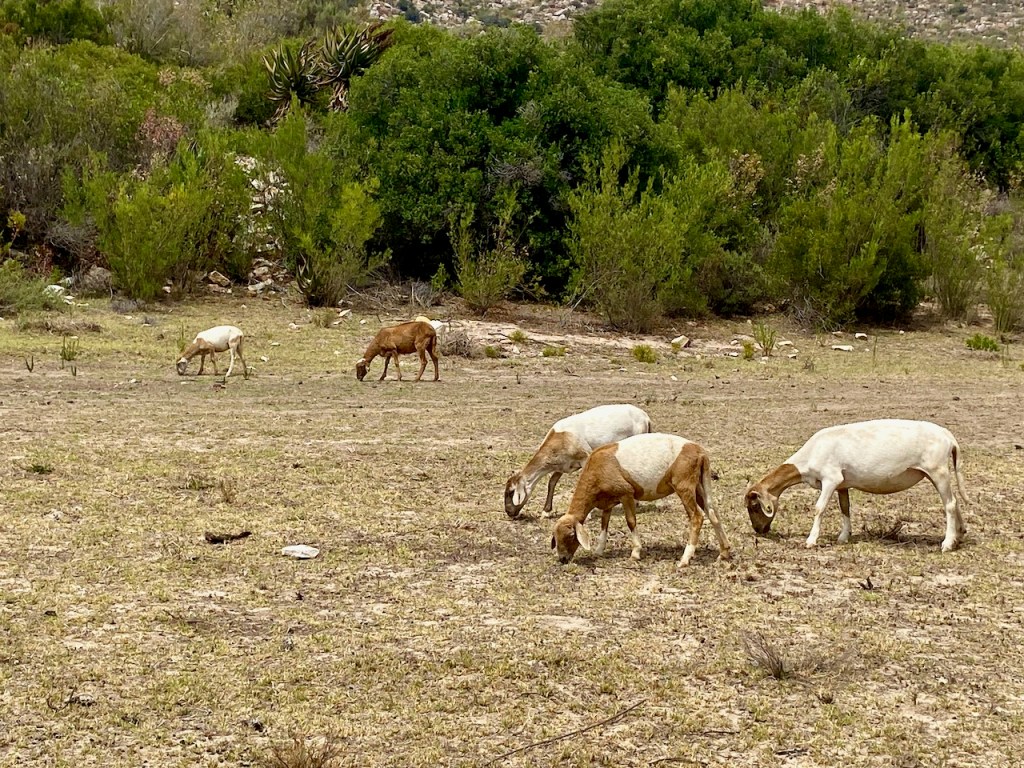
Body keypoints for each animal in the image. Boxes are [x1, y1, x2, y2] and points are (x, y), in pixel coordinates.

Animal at [504, 404, 652, 519]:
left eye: (511, 492)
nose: (509, 513)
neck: (561, 438)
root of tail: (646, 417)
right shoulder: (562, 465)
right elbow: (552, 482)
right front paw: (546, 512)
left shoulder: (585, 456)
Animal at [551, 433, 731, 567]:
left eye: (570, 536)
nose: (563, 559)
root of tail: (700, 452)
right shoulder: (608, 501)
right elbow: (604, 524)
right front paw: (599, 550)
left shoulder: (626, 493)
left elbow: (631, 521)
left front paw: (636, 552)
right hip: (700, 484)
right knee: (713, 513)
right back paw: (724, 553)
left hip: (684, 485)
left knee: (697, 517)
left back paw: (685, 559)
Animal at [745, 419, 968, 552]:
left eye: (754, 506)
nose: (759, 530)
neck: (809, 456)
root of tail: (948, 436)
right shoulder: (842, 484)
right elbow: (845, 508)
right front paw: (844, 537)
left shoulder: (830, 479)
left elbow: (819, 508)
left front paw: (811, 540)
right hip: (936, 473)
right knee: (955, 501)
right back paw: (959, 535)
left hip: (937, 470)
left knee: (949, 505)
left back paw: (947, 543)